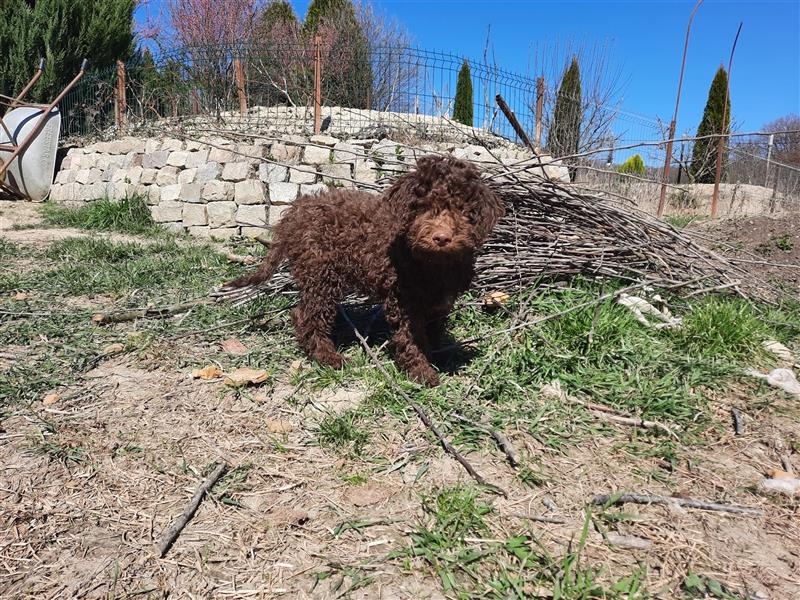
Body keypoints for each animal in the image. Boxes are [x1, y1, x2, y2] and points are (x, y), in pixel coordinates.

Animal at [222, 156, 504, 384]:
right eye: (423, 206)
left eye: (463, 209)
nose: (442, 237)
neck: (433, 263)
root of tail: (296, 211)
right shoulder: (404, 301)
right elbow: (410, 338)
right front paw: (421, 371)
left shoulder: (440, 301)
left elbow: (434, 330)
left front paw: (439, 356)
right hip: (321, 272)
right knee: (306, 315)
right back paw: (327, 357)